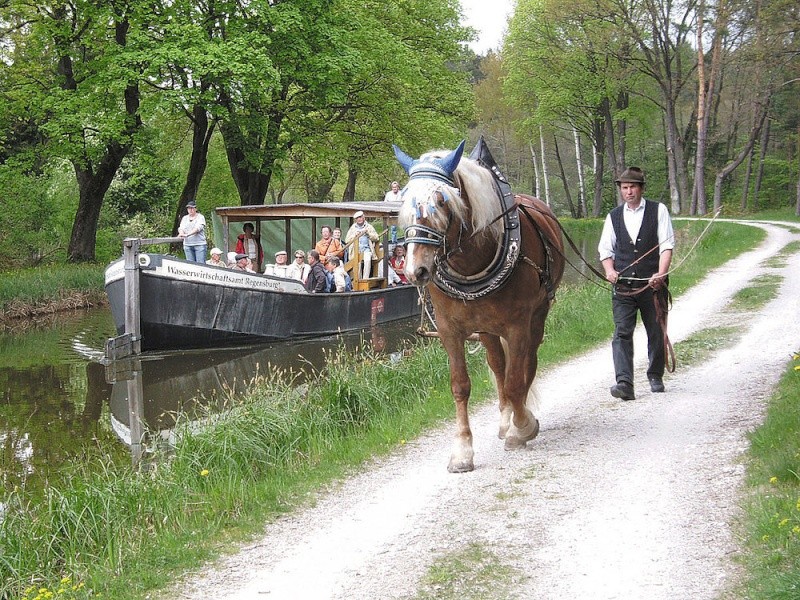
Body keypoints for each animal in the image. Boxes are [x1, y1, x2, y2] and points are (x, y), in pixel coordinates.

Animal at [392, 141, 564, 474]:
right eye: (404, 201)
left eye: (441, 201)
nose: (415, 270)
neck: (473, 259)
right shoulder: (449, 329)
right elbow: (461, 385)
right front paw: (462, 452)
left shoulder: (517, 325)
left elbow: (516, 381)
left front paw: (523, 427)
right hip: (485, 328)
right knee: (498, 365)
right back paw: (505, 418)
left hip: (536, 316)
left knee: (527, 363)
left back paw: (518, 420)